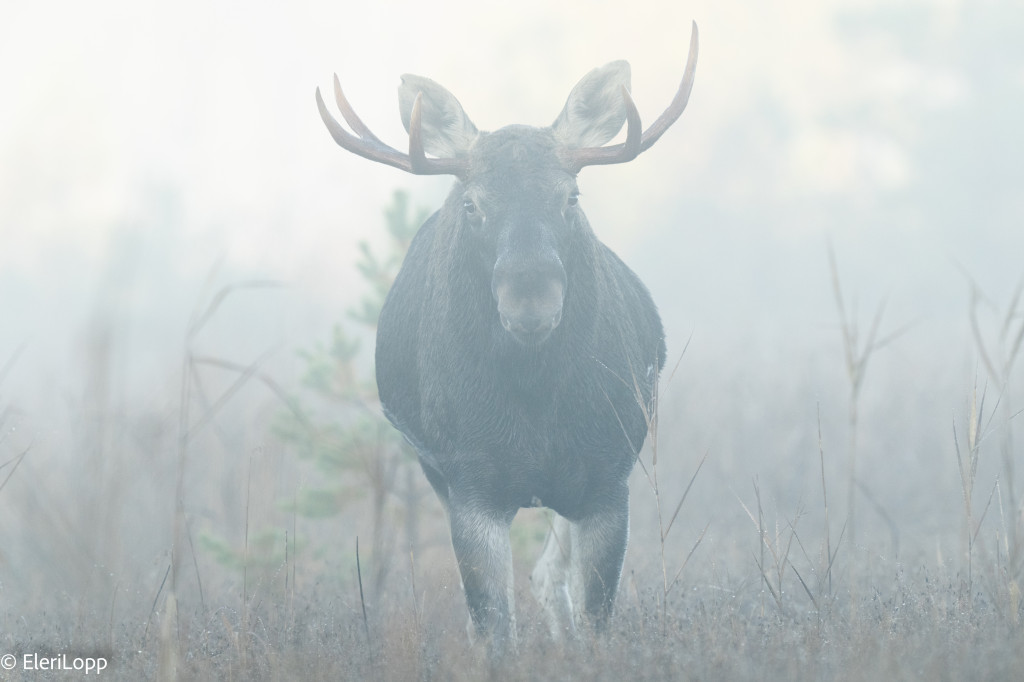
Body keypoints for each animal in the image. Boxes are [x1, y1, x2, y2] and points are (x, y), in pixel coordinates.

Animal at [315, 19, 700, 647]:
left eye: (571, 196)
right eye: (472, 204)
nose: (531, 300)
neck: (536, 400)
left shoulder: (608, 474)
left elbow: (595, 623)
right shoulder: (471, 480)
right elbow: (494, 630)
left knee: (548, 575)